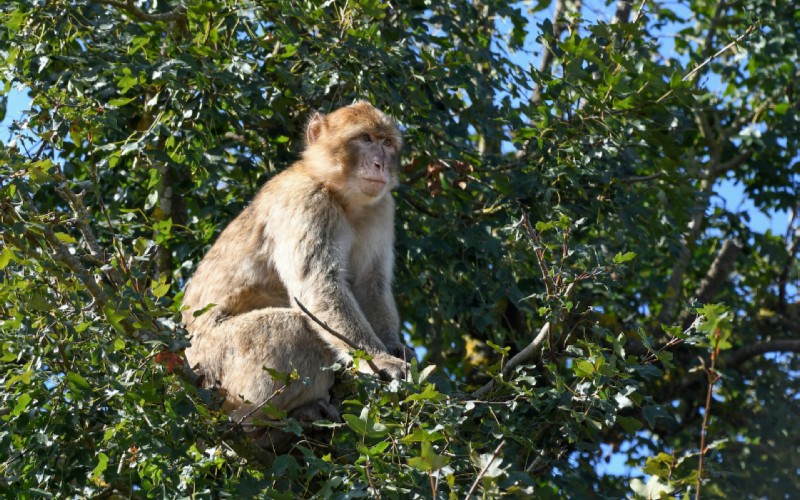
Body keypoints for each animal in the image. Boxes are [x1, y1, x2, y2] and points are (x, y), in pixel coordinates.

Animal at [182, 99, 412, 432]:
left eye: (387, 143)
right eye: (365, 139)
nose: (381, 163)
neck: (341, 196)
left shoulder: (381, 209)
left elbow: (370, 284)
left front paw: (394, 347)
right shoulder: (306, 201)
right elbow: (319, 286)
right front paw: (381, 360)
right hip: (213, 364)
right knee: (293, 327)